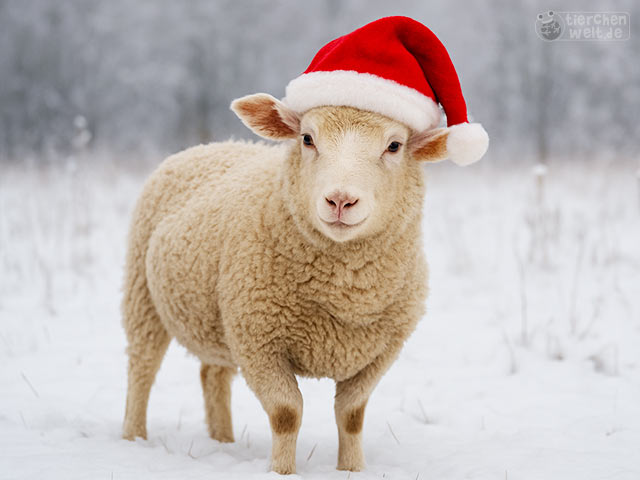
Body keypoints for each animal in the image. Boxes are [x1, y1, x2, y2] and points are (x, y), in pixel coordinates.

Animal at [121, 92, 480, 474]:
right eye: (308, 138)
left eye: (394, 145)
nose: (340, 200)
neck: (345, 293)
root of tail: (210, 145)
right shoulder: (259, 343)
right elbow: (286, 413)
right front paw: (281, 471)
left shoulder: (380, 354)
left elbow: (351, 415)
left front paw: (352, 469)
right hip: (141, 294)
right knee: (142, 368)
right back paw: (134, 437)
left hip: (221, 321)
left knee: (213, 375)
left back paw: (223, 441)